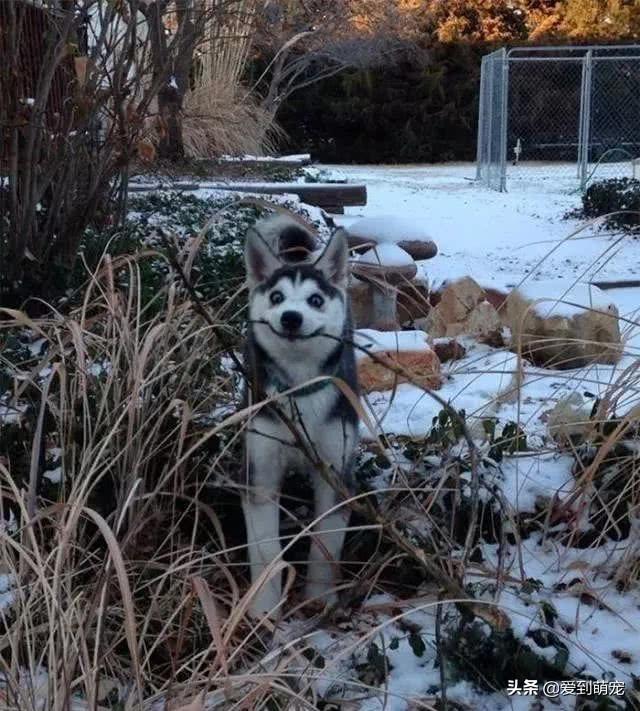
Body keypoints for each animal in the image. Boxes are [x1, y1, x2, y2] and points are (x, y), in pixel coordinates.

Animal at [242, 216, 360, 616]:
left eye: (315, 300)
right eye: (277, 297)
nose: (291, 317)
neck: (299, 389)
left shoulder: (336, 472)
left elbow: (326, 544)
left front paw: (320, 598)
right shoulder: (260, 473)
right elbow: (265, 550)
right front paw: (264, 608)